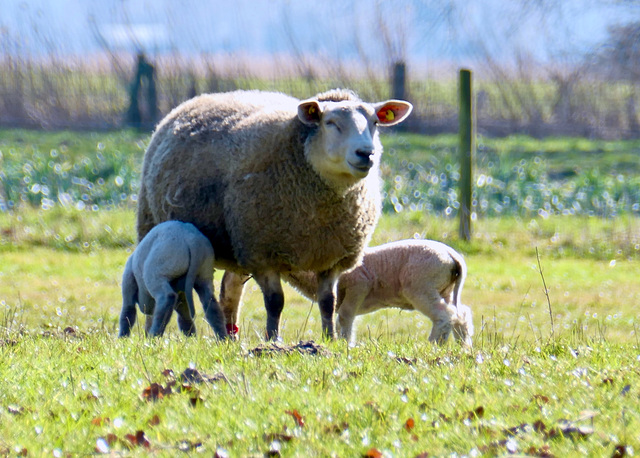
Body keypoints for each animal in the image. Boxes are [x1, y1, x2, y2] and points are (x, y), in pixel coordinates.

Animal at [138, 89, 412, 340]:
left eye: (375, 122)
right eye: (330, 123)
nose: (366, 153)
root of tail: (202, 97)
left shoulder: (331, 258)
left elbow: (328, 302)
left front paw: (329, 340)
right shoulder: (263, 253)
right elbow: (275, 302)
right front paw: (273, 340)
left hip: (237, 249)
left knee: (230, 288)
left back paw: (229, 338)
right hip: (153, 225)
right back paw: (151, 334)